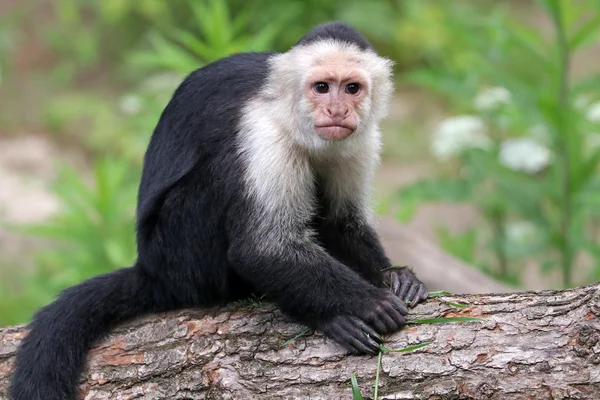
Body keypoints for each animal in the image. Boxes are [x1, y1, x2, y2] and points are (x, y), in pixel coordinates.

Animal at [8, 22, 426, 400]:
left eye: (352, 88)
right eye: (321, 87)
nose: (337, 109)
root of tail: (152, 270)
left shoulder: (361, 140)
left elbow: (341, 222)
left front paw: (392, 276)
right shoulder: (263, 135)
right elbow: (262, 249)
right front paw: (368, 301)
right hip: (182, 255)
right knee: (223, 172)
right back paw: (325, 316)